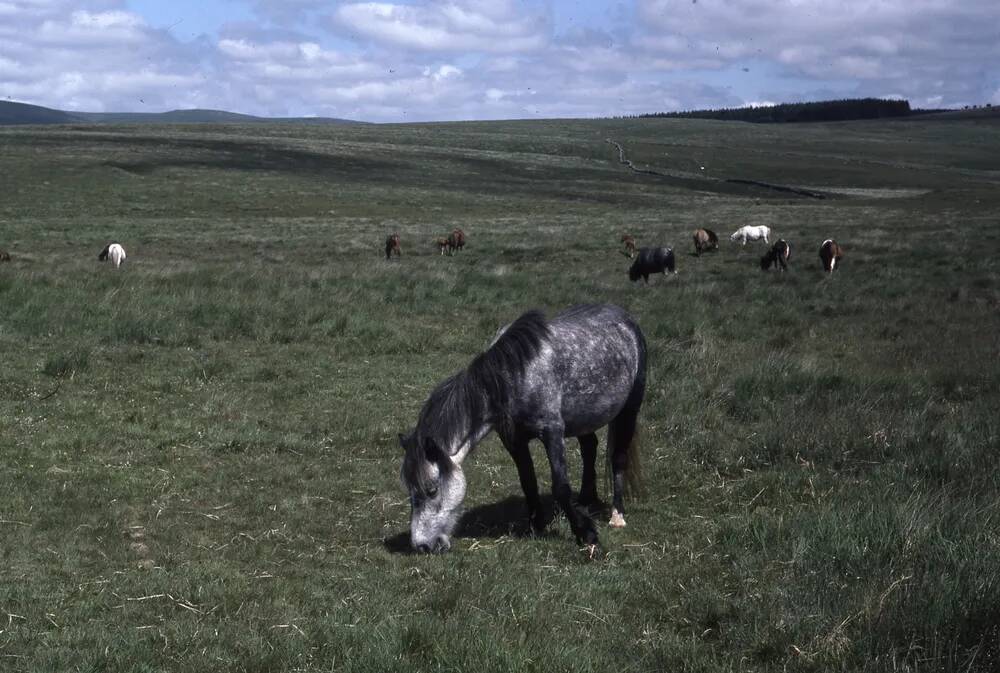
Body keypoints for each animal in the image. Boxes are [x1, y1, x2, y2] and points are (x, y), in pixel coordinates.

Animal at [400, 304, 648, 552]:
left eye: (432, 489)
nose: (422, 545)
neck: (514, 377)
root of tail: (626, 319)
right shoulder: (514, 441)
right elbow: (528, 482)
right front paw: (537, 526)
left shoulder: (552, 432)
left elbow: (561, 487)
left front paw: (586, 534)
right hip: (584, 418)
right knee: (590, 448)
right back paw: (586, 500)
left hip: (629, 409)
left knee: (618, 458)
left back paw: (617, 516)